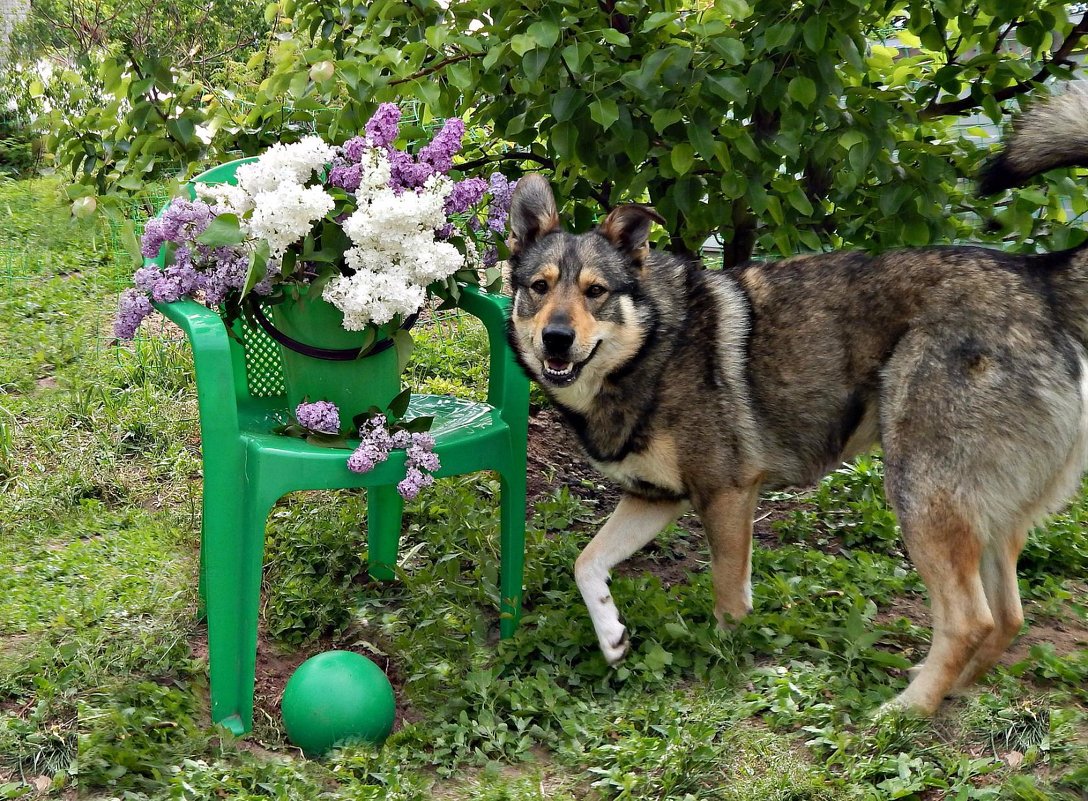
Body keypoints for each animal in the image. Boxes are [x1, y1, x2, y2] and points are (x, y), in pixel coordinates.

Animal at [504, 89, 1088, 713]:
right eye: (539, 287)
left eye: (596, 292)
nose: (555, 339)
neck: (653, 345)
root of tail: (1037, 276)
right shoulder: (654, 498)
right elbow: (586, 562)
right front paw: (611, 634)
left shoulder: (727, 495)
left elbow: (728, 599)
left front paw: (724, 667)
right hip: (987, 512)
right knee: (1009, 617)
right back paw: (949, 691)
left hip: (921, 493)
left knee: (971, 619)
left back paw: (905, 712)